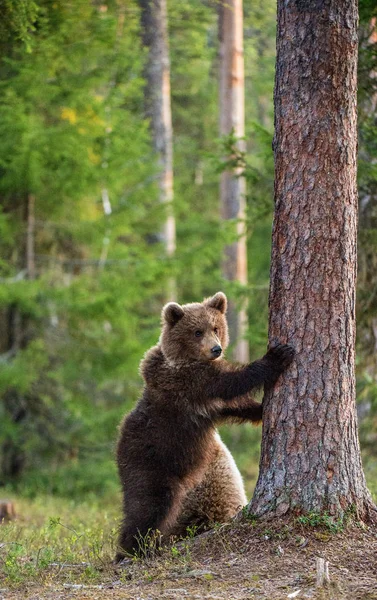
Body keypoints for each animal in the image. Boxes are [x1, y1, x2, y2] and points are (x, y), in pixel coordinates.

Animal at [114, 292, 294, 560]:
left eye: (216, 327)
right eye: (197, 331)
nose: (216, 349)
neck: (183, 359)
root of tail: (118, 448)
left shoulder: (208, 404)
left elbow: (233, 405)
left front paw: (260, 409)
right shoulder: (190, 382)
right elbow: (231, 382)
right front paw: (276, 356)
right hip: (152, 460)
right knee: (149, 503)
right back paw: (133, 550)